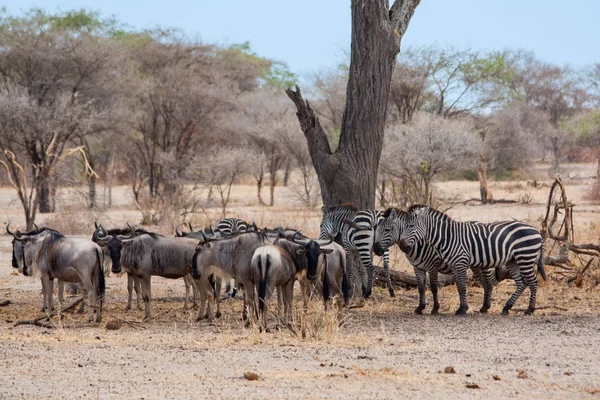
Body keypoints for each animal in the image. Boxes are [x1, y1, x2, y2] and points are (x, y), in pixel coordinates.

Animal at [400, 206, 548, 316]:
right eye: (403, 226)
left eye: (411, 225)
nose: (402, 246)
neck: (448, 237)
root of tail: (536, 231)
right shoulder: (455, 266)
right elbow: (459, 287)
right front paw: (461, 308)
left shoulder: (460, 264)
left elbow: (462, 286)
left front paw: (462, 309)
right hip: (513, 261)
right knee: (521, 283)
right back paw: (506, 307)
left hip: (525, 257)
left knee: (533, 282)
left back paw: (529, 310)